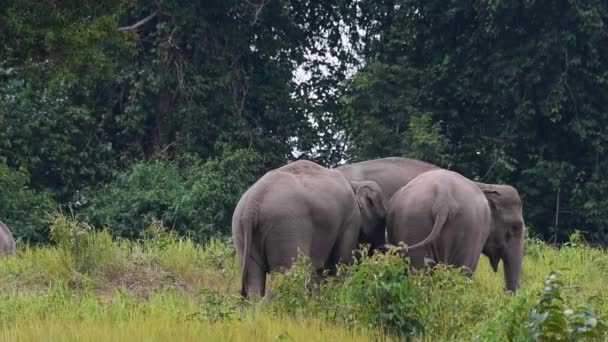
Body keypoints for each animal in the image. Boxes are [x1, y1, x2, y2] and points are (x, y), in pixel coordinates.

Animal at [232, 159, 384, 298]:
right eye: (382, 214)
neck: (353, 183)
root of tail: (252, 204)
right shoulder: (351, 219)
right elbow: (343, 261)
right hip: (285, 227)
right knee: (287, 274)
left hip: (240, 230)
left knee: (254, 278)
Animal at [334, 157, 524, 292]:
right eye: (514, 228)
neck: (483, 184)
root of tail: (443, 198)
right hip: (469, 227)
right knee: (461, 271)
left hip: (416, 219)